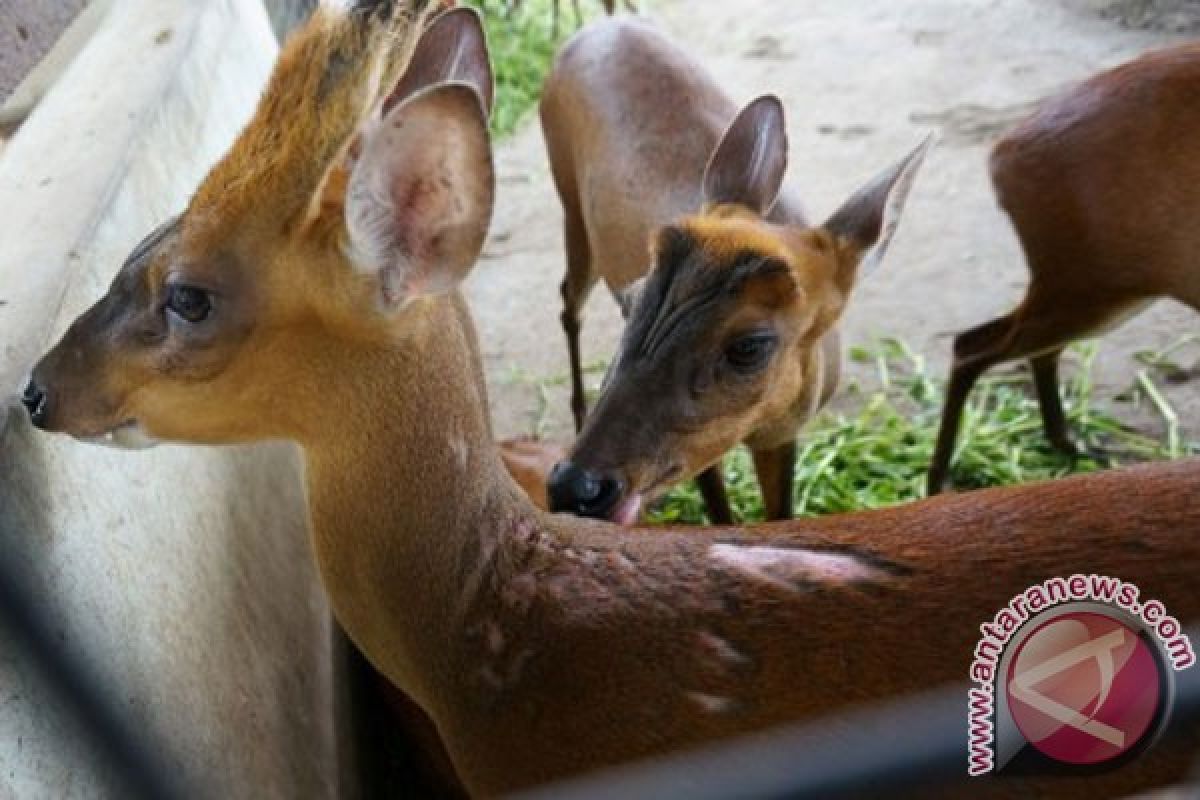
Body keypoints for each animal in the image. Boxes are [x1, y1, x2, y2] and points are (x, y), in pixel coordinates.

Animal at [542, 20, 926, 525]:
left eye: (750, 346)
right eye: (632, 296)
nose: (575, 487)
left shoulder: (781, 432)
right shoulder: (696, 448)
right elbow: (720, 511)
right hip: (567, 194)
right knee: (569, 298)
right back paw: (578, 407)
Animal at [926, 42, 1200, 494]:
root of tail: (1003, 153)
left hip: (1085, 288)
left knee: (1015, 346)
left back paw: (1070, 445)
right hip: (1089, 288)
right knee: (971, 347)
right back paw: (937, 484)